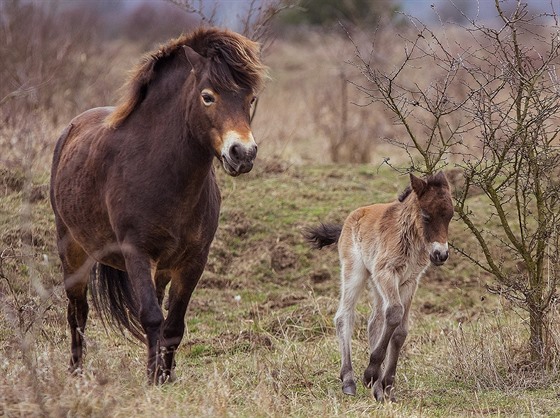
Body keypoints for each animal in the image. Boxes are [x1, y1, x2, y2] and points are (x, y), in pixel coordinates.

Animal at [49, 27, 268, 384]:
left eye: (250, 99)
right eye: (208, 96)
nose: (243, 153)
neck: (162, 172)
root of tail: (72, 127)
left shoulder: (193, 260)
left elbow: (173, 325)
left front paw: (166, 376)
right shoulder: (137, 253)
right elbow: (151, 317)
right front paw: (153, 379)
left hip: (162, 269)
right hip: (71, 249)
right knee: (77, 311)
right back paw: (77, 371)